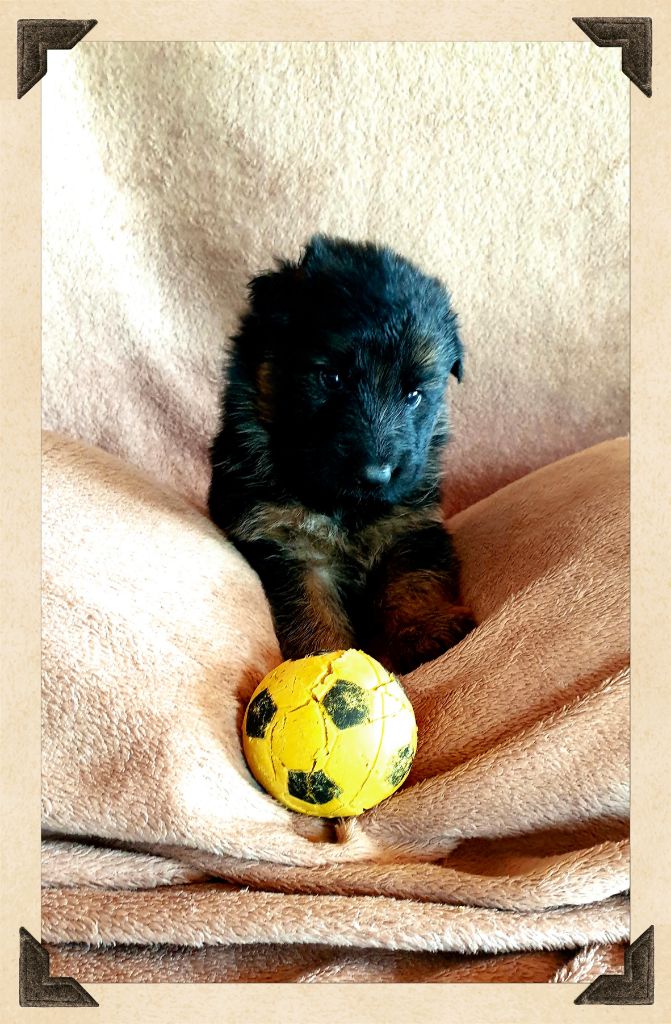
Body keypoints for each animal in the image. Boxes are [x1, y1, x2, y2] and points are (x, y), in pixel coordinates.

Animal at [208, 235, 475, 673]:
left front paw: (422, 630)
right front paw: (325, 657)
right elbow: (312, 609)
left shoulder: (411, 527)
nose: (376, 475)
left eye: (414, 394)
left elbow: (411, 580)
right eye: (331, 378)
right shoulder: (289, 546)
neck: (345, 507)